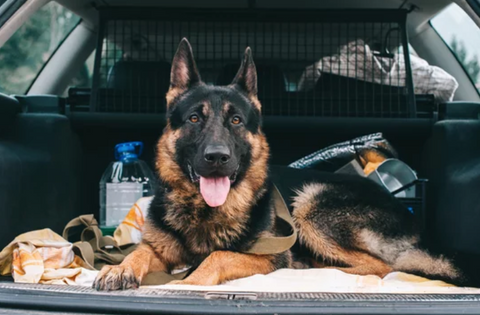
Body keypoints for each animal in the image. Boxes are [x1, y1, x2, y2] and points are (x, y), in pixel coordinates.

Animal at [93, 37, 462, 292]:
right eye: (195, 118)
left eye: (237, 121)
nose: (217, 158)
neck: (204, 211)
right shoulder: (158, 248)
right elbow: (139, 252)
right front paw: (120, 268)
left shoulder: (265, 255)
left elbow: (217, 255)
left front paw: (188, 282)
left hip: (311, 206)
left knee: (380, 265)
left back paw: (312, 267)